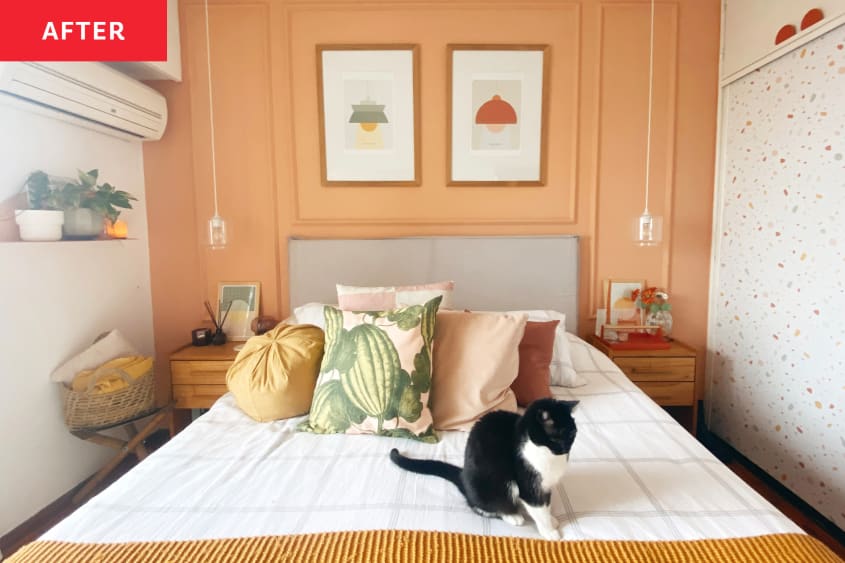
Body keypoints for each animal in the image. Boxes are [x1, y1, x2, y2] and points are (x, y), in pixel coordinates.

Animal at [390, 398, 576, 540]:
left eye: (573, 435)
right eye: (559, 437)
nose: (566, 450)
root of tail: (463, 476)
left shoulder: (546, 484)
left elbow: (546, 505)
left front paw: (552, 519)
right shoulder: (528, 483)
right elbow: (538, 509)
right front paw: (550, 531)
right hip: (491, 485)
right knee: (485, 505)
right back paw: (513, 516)